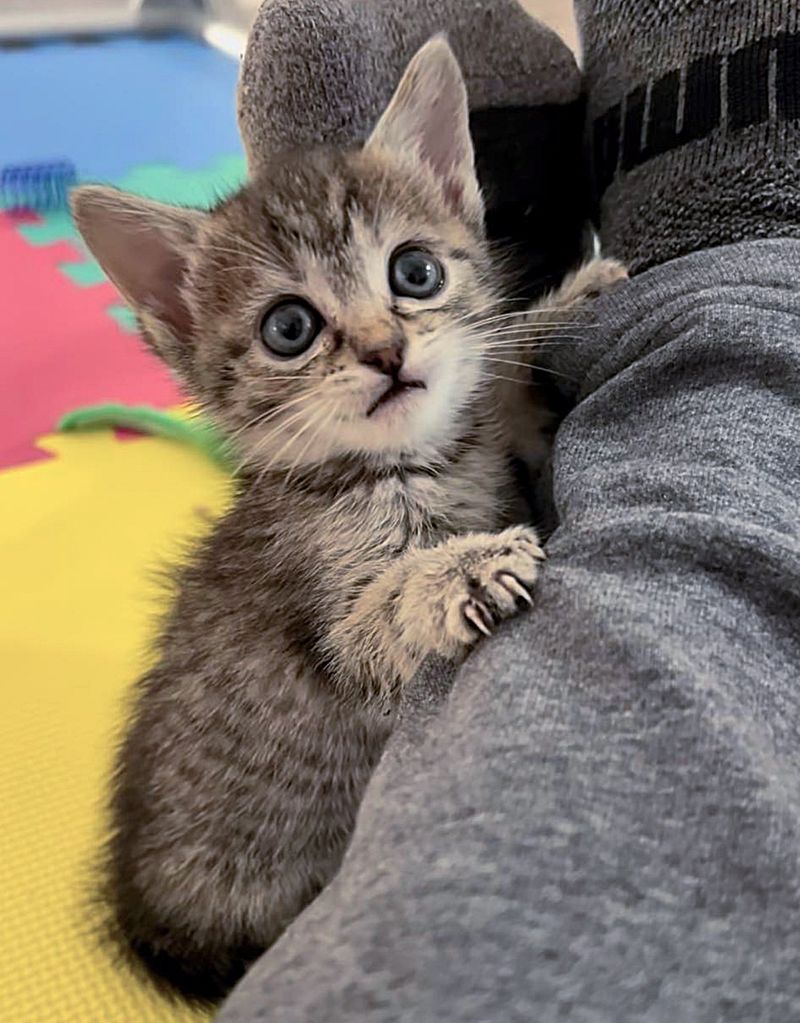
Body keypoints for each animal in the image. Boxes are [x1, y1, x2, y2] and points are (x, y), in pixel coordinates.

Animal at [73, 37, 626, 998]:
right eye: (289, 327)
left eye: (416, 272)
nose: (385, 349)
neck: (406, 468)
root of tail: (147, 919)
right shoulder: (334, 625)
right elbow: (384, 615)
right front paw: (462, 568)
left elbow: (495, 383)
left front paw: (568, 300)